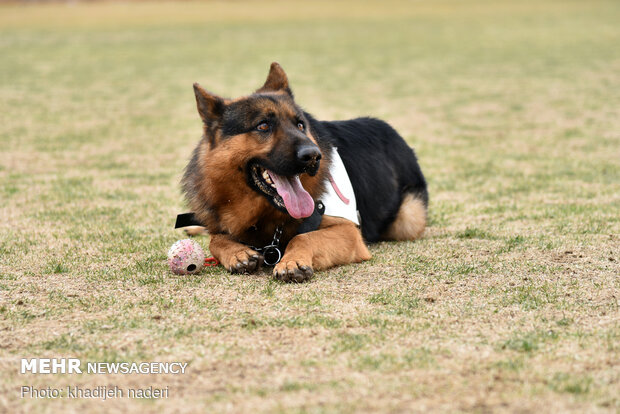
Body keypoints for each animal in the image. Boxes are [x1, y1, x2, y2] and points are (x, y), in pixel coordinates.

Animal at [182, 63, 428, 284]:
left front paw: (292, 262)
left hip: (408, 218)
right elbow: (215, 238)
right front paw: (236, 252)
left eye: (300, 125)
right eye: (263, 126)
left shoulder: (349, 232)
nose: (313, 156)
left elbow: (303, 237)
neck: (264, 214)